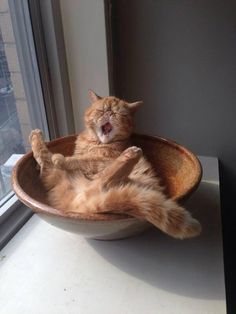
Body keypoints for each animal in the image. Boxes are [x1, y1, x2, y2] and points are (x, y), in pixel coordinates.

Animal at [29, 89, 201, 239]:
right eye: (101, 110)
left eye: (120, 114)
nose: (110, 113)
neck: (97, 142)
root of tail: (75, 208)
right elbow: (82, 158)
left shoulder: (104, 160)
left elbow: (84, 159)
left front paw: (64, 159)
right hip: (62, 177)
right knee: (44, 157)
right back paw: (36, 135)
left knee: (101, 179)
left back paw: (131, 154)